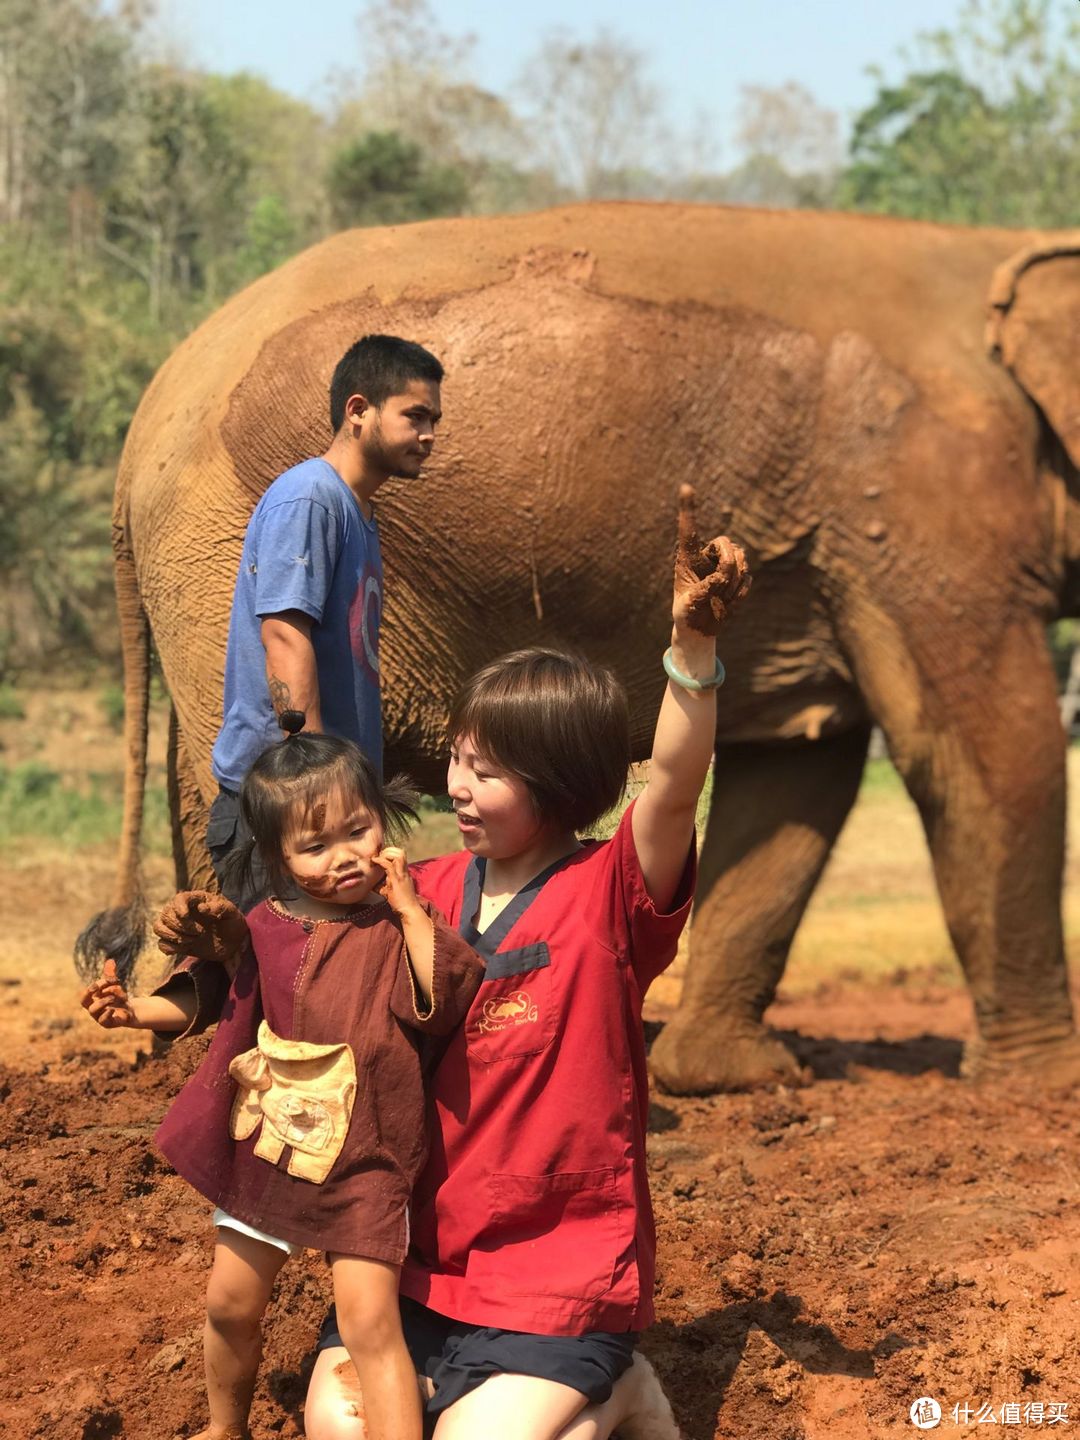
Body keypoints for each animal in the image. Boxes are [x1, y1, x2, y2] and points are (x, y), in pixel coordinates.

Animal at [80, 205, 1080, 1088]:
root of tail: (142, 425)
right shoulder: (925, 494)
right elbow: (992, 748)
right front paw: (1041, 1089)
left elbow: (799, 775)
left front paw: (732, 1078)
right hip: (221, 549)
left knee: (191, 784)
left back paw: (179, 1027)